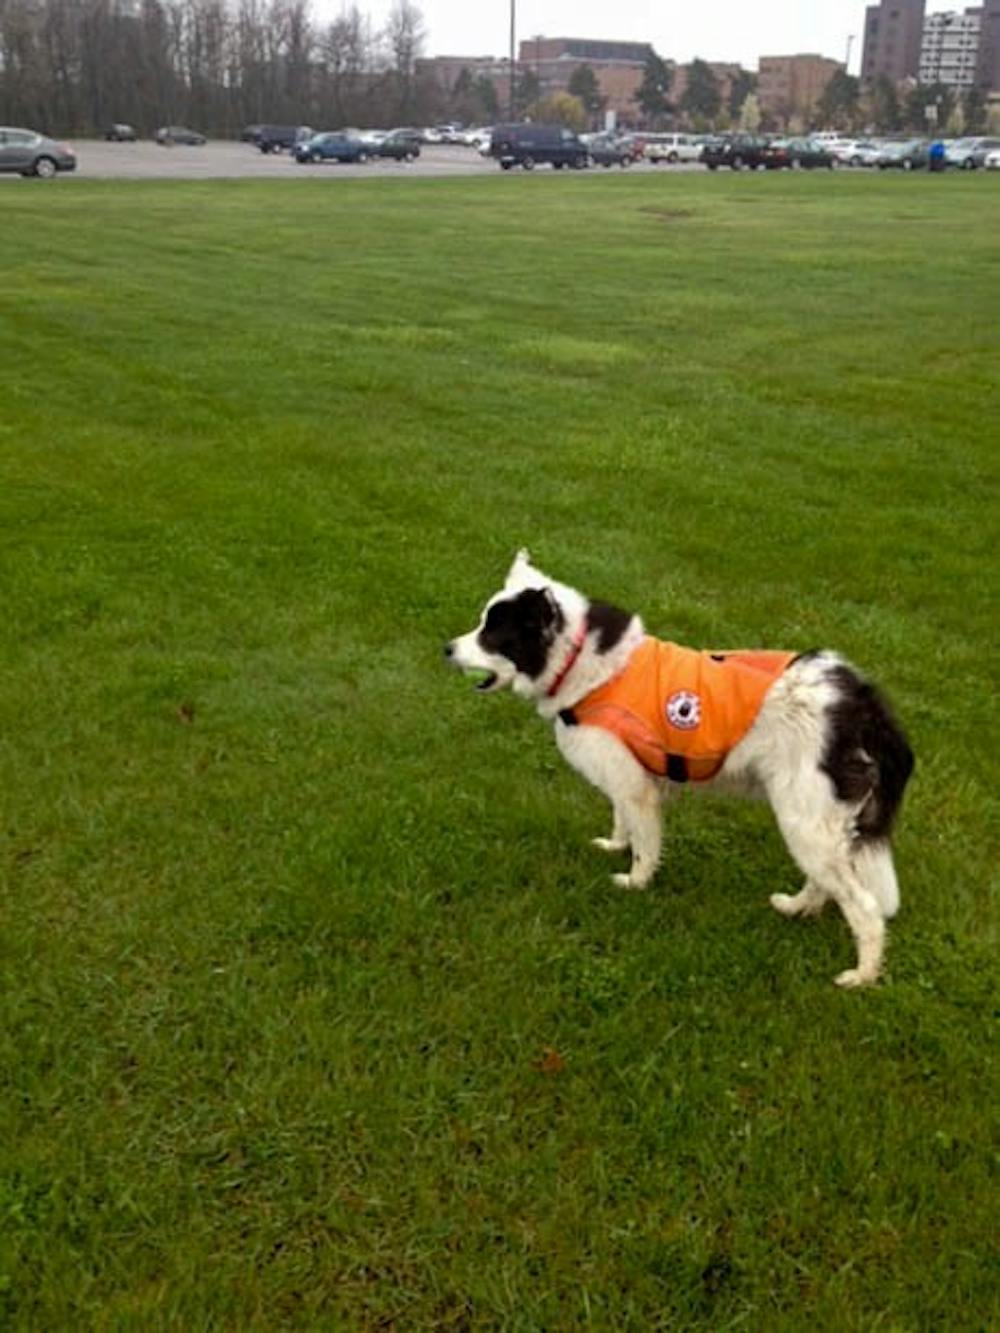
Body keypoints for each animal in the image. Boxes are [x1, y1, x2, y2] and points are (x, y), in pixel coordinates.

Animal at [448, 546, 917, 986]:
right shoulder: (624, 776)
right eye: (482, 623)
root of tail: (861, 701)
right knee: (827, 881)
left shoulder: (637, 789)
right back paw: (798, 908)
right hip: (814, 823)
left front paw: (635, 883)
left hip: (805, 818)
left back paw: (862, 975)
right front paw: (615, 845)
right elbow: (622, 821)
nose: (446, 649)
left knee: (865, 907)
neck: (578, 659)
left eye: (494, 633)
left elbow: (645, 845)